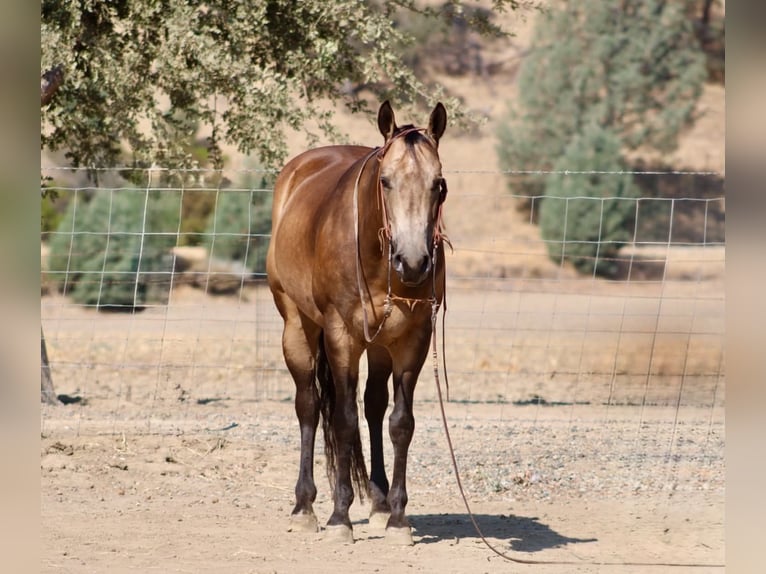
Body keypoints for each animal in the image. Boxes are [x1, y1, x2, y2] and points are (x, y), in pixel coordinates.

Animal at [266, 101, 448, 545]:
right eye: (385, 181)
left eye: (439, 184)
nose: (413, 262)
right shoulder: (342, 337)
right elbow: (344, 422)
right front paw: (339, 518)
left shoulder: (413, 340)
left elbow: (400, 423)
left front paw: (398, 518)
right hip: (297, 328)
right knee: (310, 407)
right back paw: (305, 507)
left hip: (381, 345)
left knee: (374, 407)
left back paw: (380, 506)